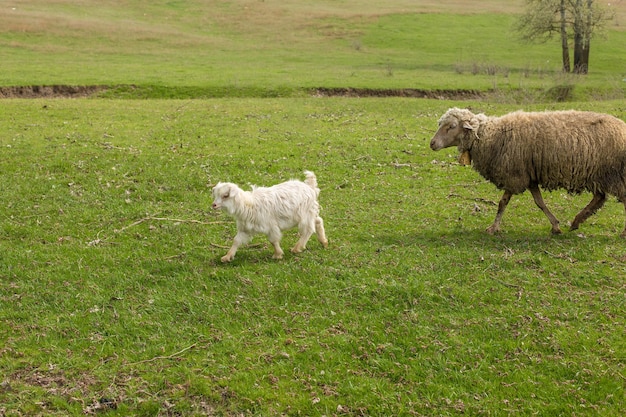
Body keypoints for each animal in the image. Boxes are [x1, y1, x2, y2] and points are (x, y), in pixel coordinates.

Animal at [426, 107, 624, 236]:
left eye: (451, 126)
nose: (432, 143)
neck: (491, 135)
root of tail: (622, 128)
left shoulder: (514, 175)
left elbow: (502, 203)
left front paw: (493, 228)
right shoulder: (529, 176)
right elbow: (539, 202)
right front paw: (555, 226)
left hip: (614, 174)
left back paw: (620, 232)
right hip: (599, 174)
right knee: (599, 198)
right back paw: (576, 222)